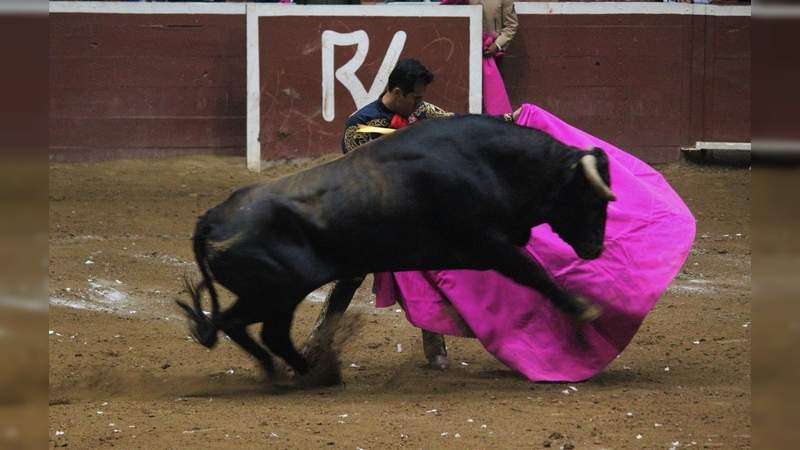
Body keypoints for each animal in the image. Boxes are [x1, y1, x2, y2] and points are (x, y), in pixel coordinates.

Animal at [178, 114, 616, 378]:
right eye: (591, 197)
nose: (595, 248)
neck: (489, 162)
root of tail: (212, 217)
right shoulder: (490, 243)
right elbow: (535, 274)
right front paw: (584, 310)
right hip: (277, 292)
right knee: (261, 330)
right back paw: (309, 374)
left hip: (272, 294)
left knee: (240, 325)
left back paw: (289, 371)